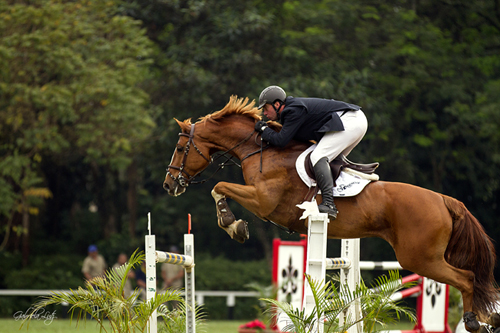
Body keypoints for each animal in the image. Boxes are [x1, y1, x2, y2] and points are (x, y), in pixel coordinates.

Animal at [163, 95, 496, 330]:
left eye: (180, 149)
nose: (169, 184)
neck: (260, 150)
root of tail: (443, 200)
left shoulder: (262, 200)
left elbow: (219, 186)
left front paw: (233, 225)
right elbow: (219, 187)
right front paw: (234, 225)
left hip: (419, 258)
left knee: (467, 278)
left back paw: (474, 321)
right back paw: (485, 320)